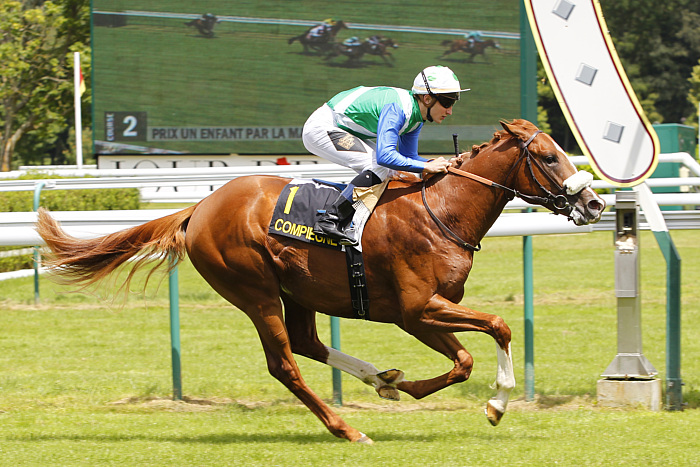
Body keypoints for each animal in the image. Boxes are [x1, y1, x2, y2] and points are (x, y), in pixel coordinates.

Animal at [38, 119, 604, 444]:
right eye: (548, 156)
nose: (594, 203)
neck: (440, 209)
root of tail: (200, 207)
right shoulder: (419, 307)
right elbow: (499, 326)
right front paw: (497, 403)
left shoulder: (418, 312)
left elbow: (463, 361)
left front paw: (405, 386)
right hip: (256, 292)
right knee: (285, 364)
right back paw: (346, 428)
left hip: (299, 290)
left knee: (308, 343)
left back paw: (380, 378)